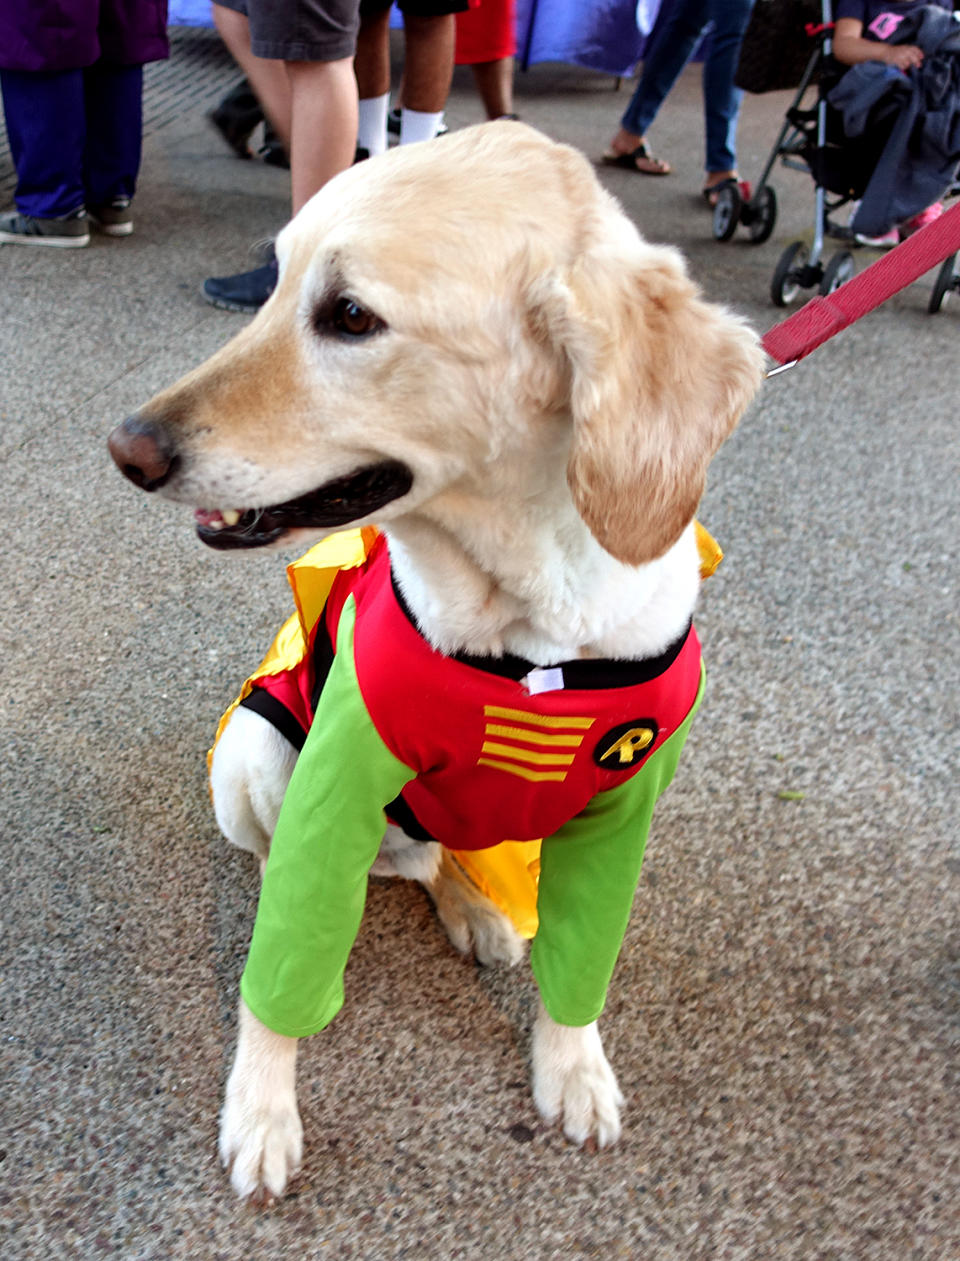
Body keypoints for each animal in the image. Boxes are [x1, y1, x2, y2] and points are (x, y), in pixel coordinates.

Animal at [106, 122, 761, 1205]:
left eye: (350, 316)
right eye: (275, 282)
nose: (127, 449)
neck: (530, 626)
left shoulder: (620, 814)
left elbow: (583, 966)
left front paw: (572, 1064)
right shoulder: (339, 772)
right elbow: (279, 978)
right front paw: (262, 1107)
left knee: (430, 857)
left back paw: (477, 908)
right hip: (255, 752)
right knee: (326, 859)